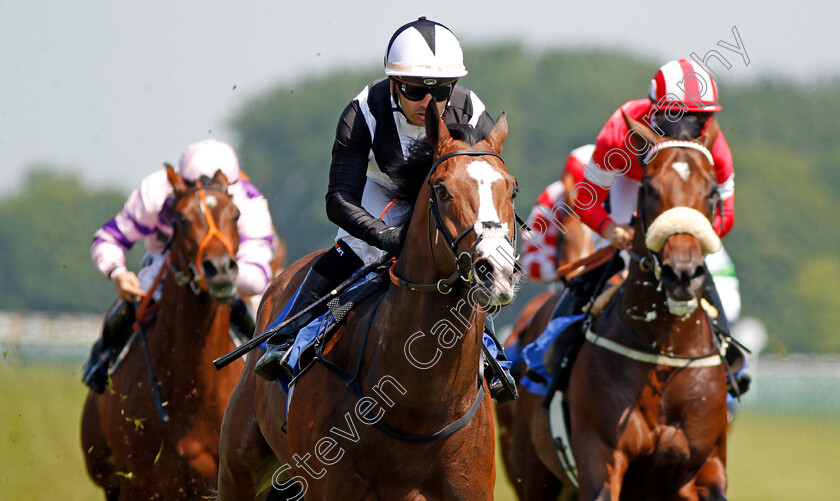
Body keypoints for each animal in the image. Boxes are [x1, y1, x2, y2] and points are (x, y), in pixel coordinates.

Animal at [498, 115, 728, 498]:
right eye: (649, 188)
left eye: (712, 191)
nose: (682, 273)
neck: (662, 351)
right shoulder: (602, 456)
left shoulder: (704, 467)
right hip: (532, 471)